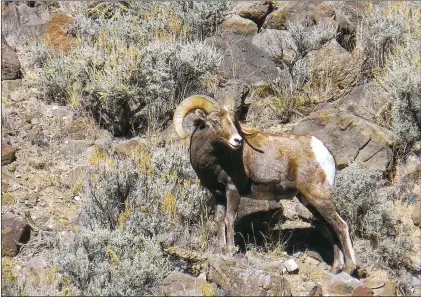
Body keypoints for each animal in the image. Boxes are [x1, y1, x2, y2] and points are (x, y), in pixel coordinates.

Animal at [172, 95, 356, 272]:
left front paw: (230, 251)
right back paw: (335, 268)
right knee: (330, 227)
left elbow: (229, 219)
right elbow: (219, 219)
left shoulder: (233, 190)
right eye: (215, 121)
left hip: (318, 196)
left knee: (341, 225)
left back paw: (349, 268)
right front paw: (220, 250)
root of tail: (323, 151)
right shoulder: (218, 194)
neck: (216, 160)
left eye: (232, 121)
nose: (237, 140)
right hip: (309, 201)